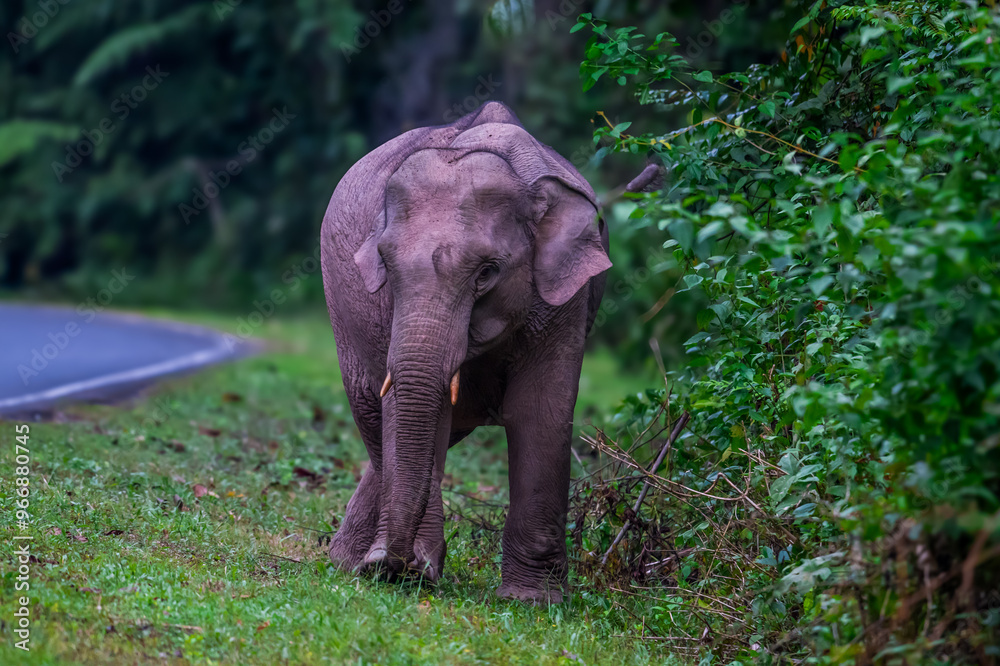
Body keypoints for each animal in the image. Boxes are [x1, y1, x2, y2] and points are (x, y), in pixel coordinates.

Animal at [320, 101, 611, 604]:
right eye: (385, 263)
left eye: (487, 273)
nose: (395, 565)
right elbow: (409, 403)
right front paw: (410, 572)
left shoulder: (564, 302)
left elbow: (540, 412)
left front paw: (533, 601)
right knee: (373, 414)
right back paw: (354, 560)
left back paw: (352, 559)